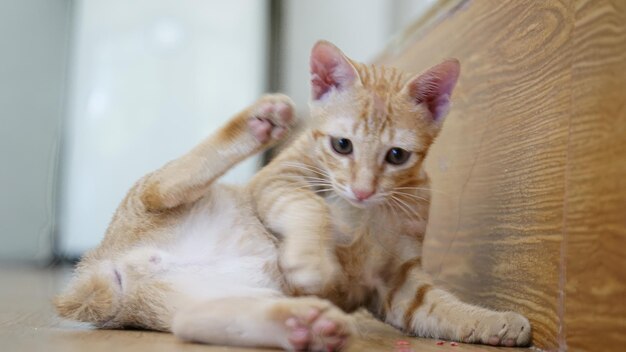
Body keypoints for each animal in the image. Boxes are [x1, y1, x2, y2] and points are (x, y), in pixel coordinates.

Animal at [56, 40, 528, 350]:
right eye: (342, 145)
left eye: (397, 155)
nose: (362, 190)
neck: (366, 214)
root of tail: (104, 266)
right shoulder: (276, 182)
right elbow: (311, 206)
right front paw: (312, 260)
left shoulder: (397, 285)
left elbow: (442, 309)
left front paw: (496, 322)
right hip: (154, 200)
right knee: (164, 186)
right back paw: (260, 120)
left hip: (202, 302)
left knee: (196, 322)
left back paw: (305, 327)